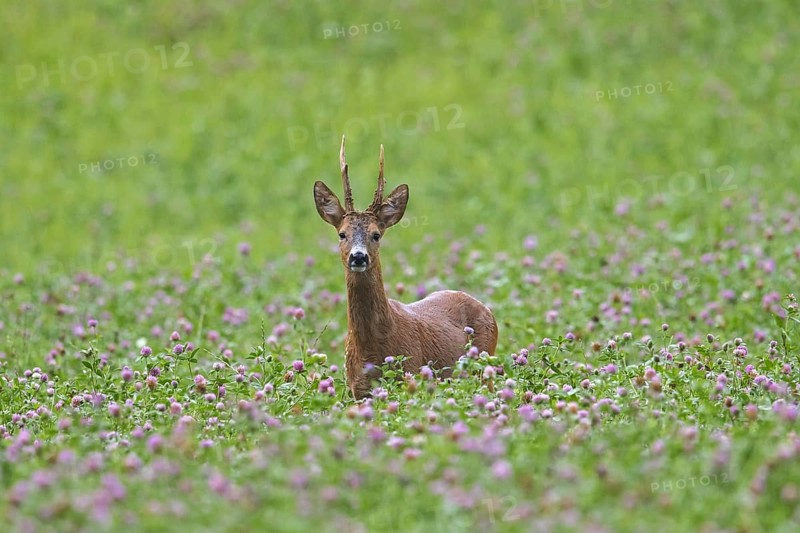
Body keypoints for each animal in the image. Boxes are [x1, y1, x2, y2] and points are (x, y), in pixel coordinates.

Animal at [313, 136, 498, 399]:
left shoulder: (409, 372)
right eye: (342, 234)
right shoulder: (357, 390)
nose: (358, 257)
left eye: (376, 234)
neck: (373, 347)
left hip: (485, 365)